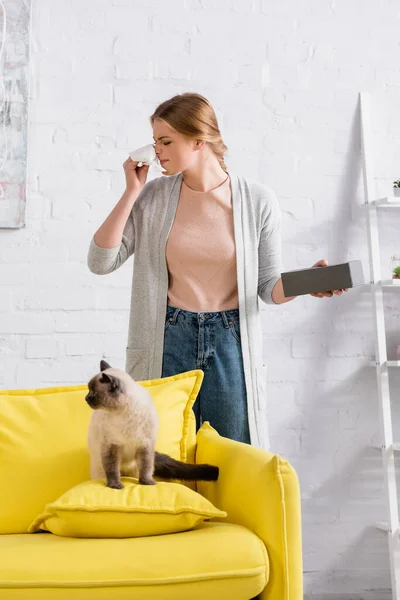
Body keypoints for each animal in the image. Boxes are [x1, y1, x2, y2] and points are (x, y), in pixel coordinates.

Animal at [86, 360, 220, 488]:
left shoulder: (145, 445)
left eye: (93, 393)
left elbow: (146, 468)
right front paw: (115, 485)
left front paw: (147, 483)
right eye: (89, 391)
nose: (86, 398)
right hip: (100, 465)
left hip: (135, 466)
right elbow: (112, 470)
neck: (123, 414)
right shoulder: (111, 446)